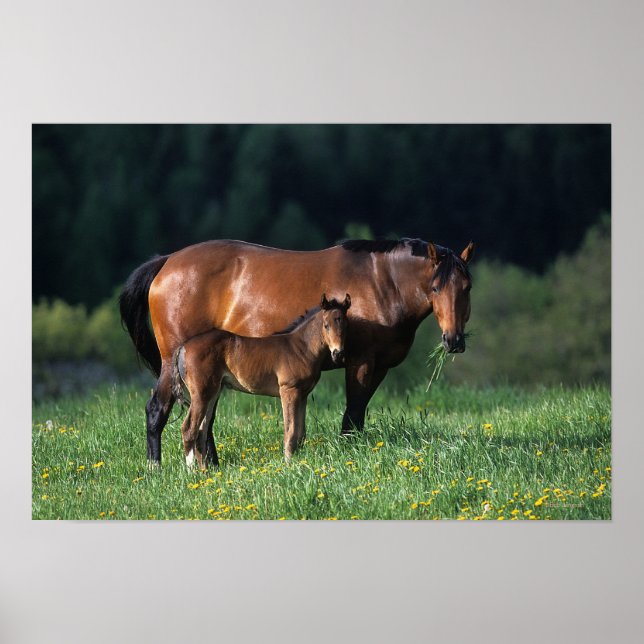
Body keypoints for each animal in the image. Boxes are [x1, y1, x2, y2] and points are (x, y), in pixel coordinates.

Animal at [172, 294, 351, 467]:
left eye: (345, 325)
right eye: (326, 325)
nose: (338, 353)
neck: (301, 347)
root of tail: (183, 347)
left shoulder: (303, 395)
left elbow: (301, 432)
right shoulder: (289, 391)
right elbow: (291, 430)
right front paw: (288, 464)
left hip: (213, 393)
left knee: (201, 432)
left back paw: (206, 472)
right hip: (201, 393)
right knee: (189, 429)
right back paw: (191, 471)